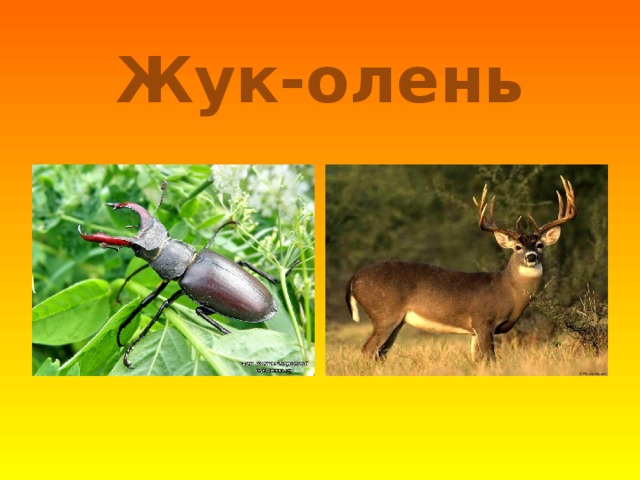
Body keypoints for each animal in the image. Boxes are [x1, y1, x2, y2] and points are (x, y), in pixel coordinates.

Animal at [346, 176, 576, 362]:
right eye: (518, 247)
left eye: (540, 245)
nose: (531, 257)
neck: (507, 291)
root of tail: (353, 279)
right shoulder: (483, 320)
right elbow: (490, 359)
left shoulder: (474, 331)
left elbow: (478, 361)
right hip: (384, 314)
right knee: (368, 350)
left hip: (396, 320)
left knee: (381, 354)